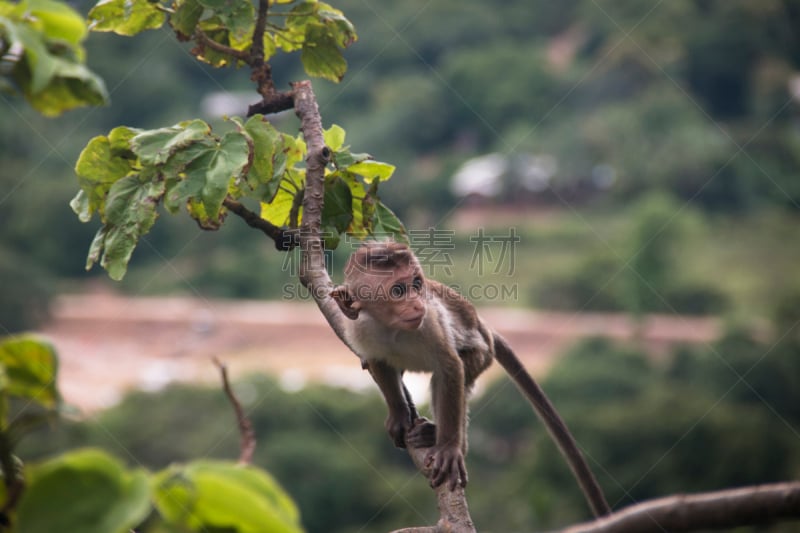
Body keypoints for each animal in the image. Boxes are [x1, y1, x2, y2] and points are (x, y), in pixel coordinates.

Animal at [328, 240, 608, 516]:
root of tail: (485, 329)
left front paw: (450, 449)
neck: (391, 328)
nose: (418, 304)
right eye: (398, 290)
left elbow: (450, 367)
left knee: (452, 377)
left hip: (481, 354)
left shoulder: (430, 323)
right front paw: (398, 413)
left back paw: (439, 438)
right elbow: (379, 361)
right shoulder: (361, 329)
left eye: (416, 284)